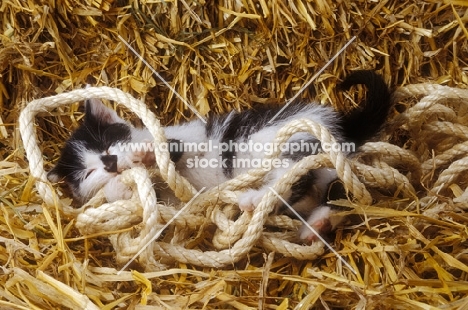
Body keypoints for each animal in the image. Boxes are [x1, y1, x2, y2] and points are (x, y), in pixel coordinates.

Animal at [48, 71, 392, 242]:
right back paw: (315, 225)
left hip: (280, 142)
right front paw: (119, 184)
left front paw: (142, 156)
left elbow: (168, 151)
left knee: (295, 177)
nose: (109, 163)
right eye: (87, 173)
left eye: (106, 145)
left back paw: (257, 198)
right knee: (329, 194)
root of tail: (336, 125)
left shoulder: (177, 141)